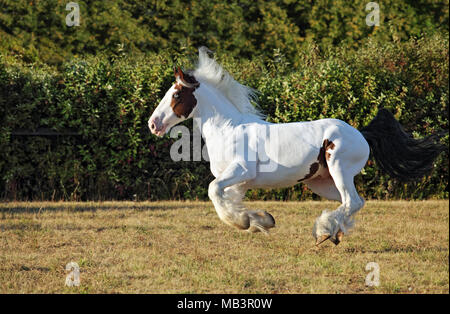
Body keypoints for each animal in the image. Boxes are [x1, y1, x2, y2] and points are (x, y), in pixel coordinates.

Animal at [149, 47, 446, 247]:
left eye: (176, 94)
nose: (153, 124)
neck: (227, 129)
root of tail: (360, 133)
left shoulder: (240, 172)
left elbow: (214, 192)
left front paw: (247, 222)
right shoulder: (237, 183)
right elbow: (227, 201)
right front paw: (260, 221)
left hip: (339, 169)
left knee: (352, 201)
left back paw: (324, 232)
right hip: (321, 182)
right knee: (351, 203)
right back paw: (333, 233)